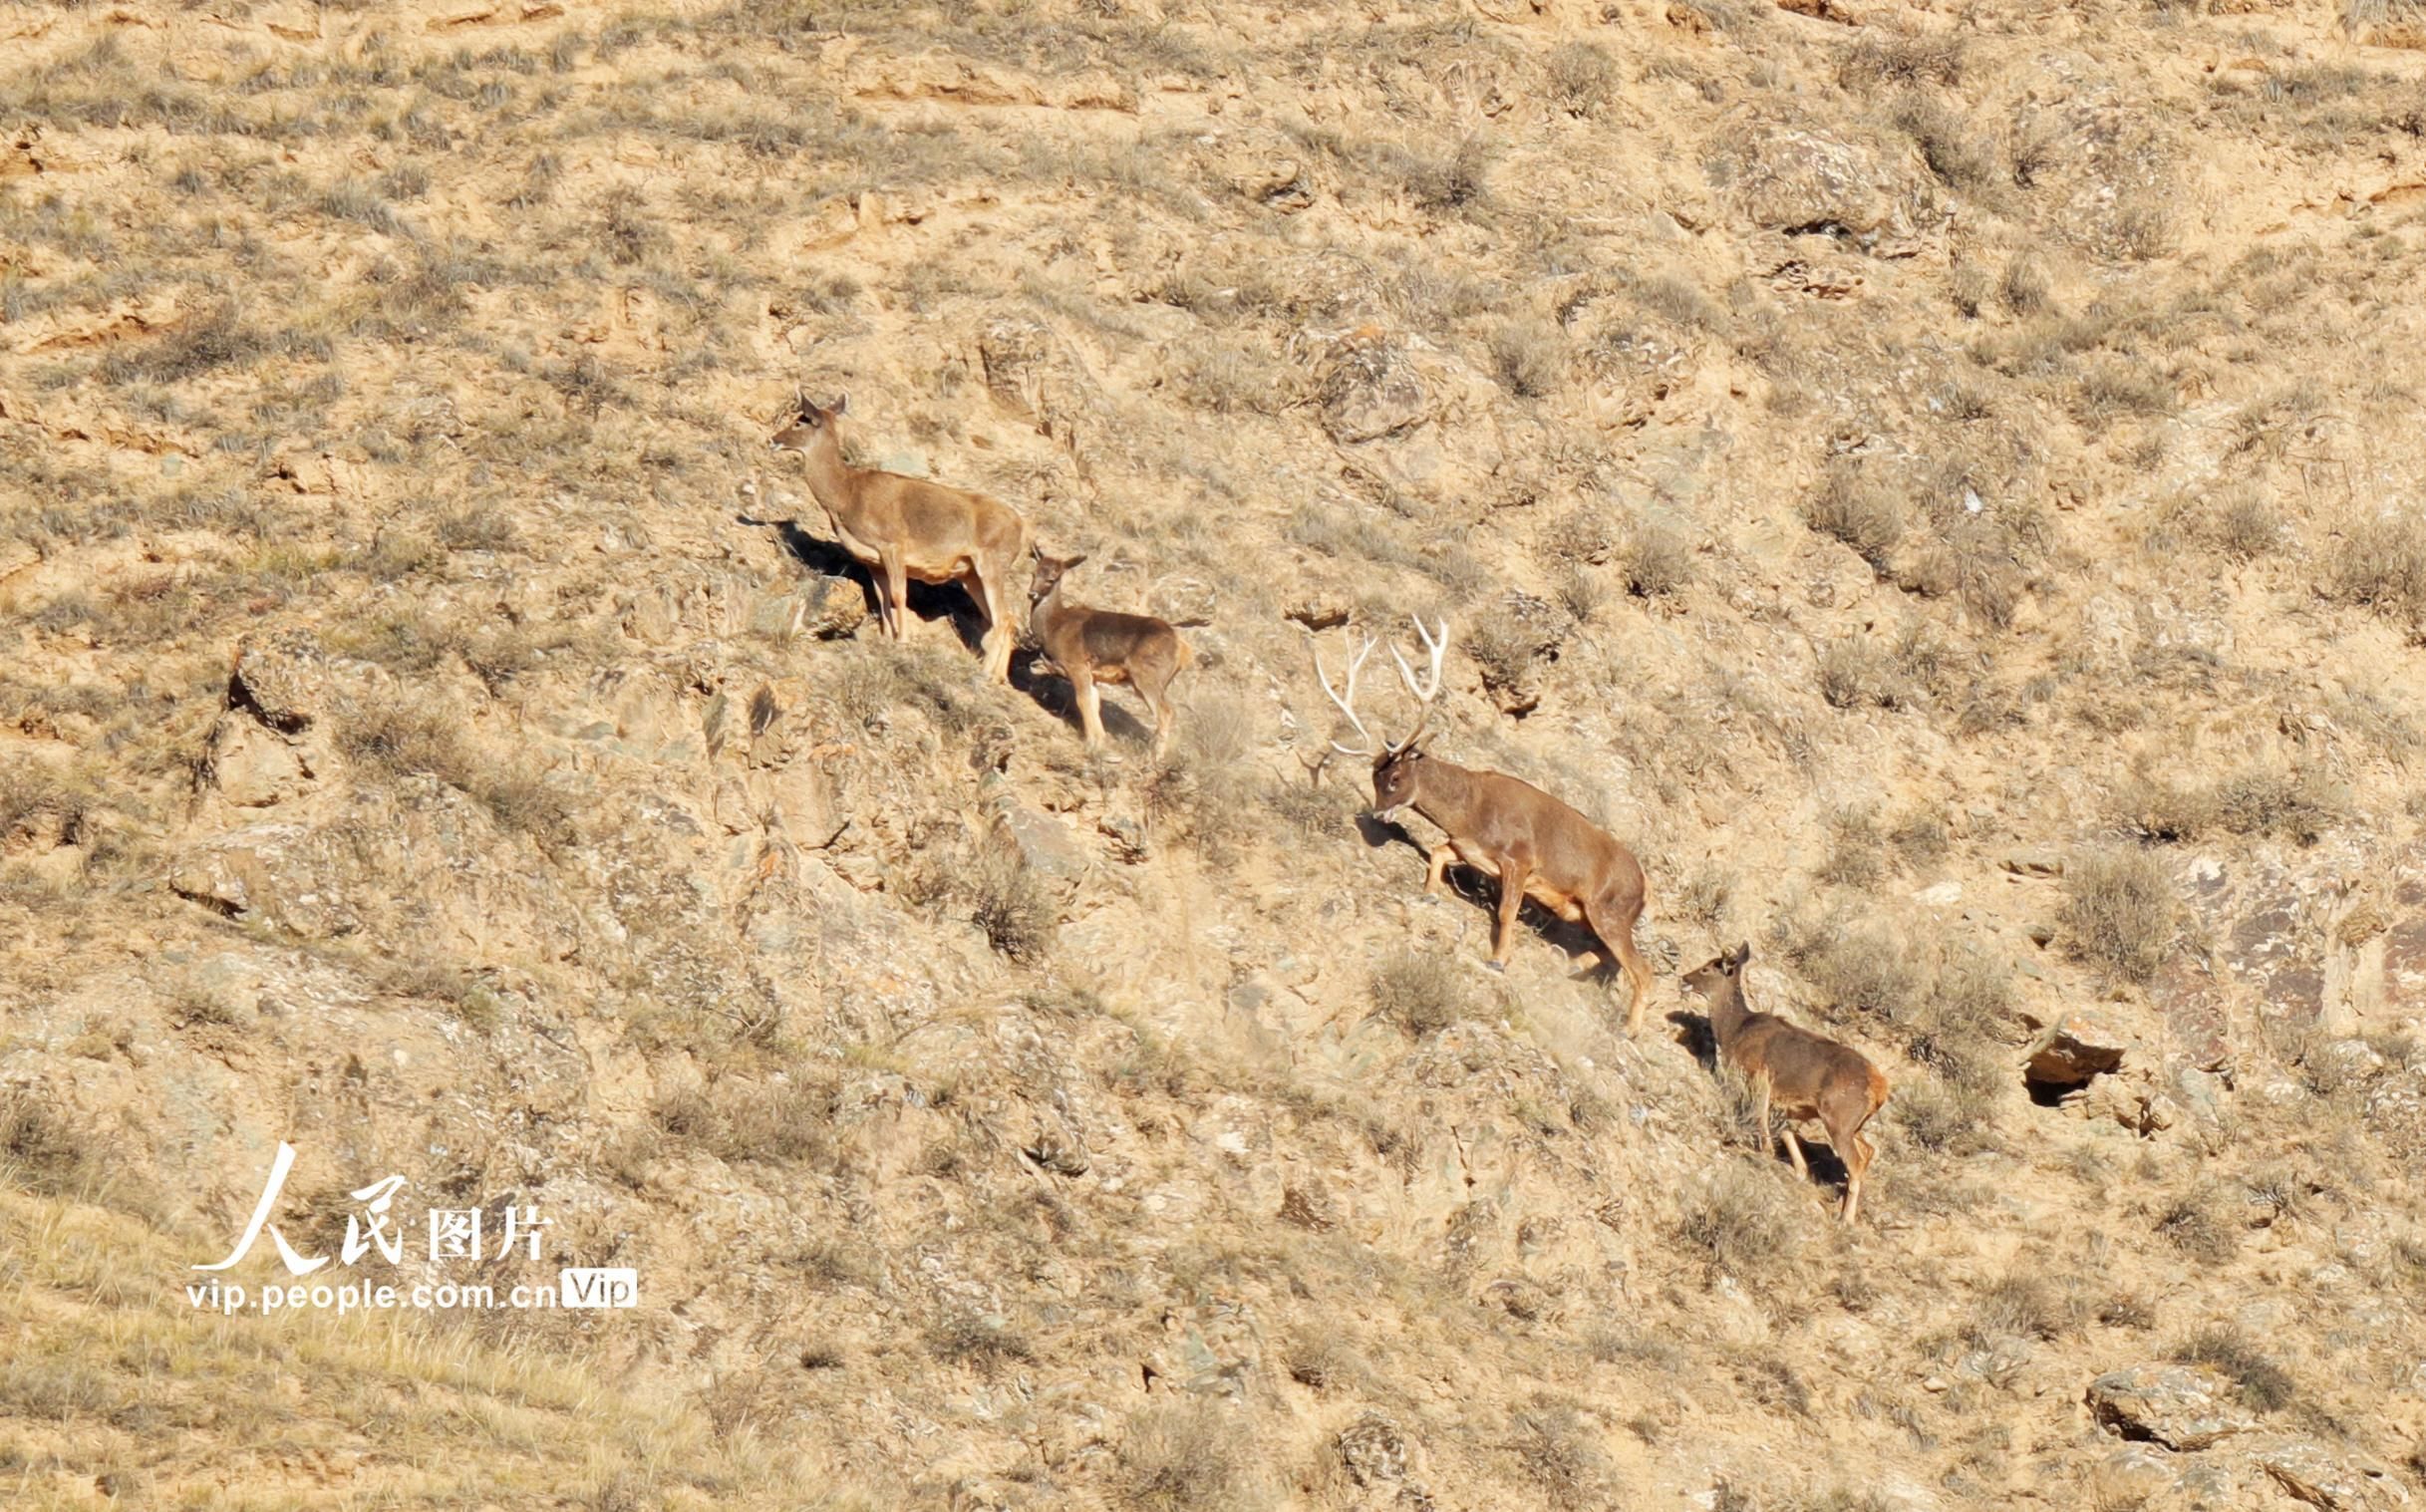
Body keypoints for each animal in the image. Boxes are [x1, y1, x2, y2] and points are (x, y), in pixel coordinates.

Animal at [766, 400, 1033, 689]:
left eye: (799, 422)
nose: (773, 439)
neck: (846, 495)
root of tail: (1022, 530)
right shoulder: (872, 560)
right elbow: (882, 597)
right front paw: (886, 637)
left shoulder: (892, 544)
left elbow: (898, 594)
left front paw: (903, 640)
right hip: (970, 575)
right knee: (1005, 618)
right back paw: (999, 676)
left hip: (992, 563)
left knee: (1003, 617)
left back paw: (986, 673)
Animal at [1024, 550, 1193, 761]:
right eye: (1033, 572)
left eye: (1052, 578)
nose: (1031, 593)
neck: (1053, 627)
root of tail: (1183, 650)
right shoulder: (1092, 674)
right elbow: (1094, 702)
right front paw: (1098, 741)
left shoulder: (1076, 663)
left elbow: (1083, 701)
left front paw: (1091, 745)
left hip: (1147, 675)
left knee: (1165, 711)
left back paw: (1154, 757)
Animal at [1310, 621, 1668, 1034]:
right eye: (1373, 777)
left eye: (1395, 778)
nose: (1379, 814)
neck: (1471, 811)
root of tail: (1645, 885)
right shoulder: (1468, 848)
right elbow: (1438, 852)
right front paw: (1430, 893)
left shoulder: (1520, 859)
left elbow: (1506, 911)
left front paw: (1497, 959)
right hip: (1594, 915)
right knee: (1610, 956)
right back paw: (1571, 964)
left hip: (1610, 910)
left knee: (1643, 969)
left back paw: (1629, 1028)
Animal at [1688, 946, 1892, 1232]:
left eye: (1706, 968)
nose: (1684, 977)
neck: (1734, 1032)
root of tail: (1881, 1089)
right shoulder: (1783, 1102)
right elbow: (1785, 1131)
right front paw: (1799, 1171)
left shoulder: (1759, 1075)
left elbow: (1760, 1119)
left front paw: (1765, 1154)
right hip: (1855, 1124)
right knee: (1869, 1149)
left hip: (1838, 1119)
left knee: (1856, 1161)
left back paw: (1846, 1219)